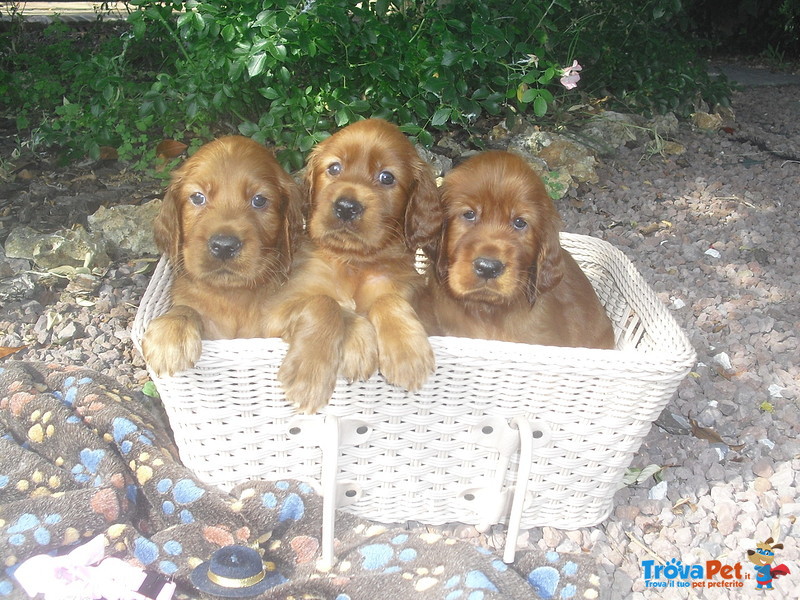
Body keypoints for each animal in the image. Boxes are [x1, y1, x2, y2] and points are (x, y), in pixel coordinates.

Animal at [142, 136, 304, 376]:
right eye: (197, 197)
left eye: (259, 200)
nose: (224, 246)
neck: (231, 295)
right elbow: (185, 308)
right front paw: (170, 334)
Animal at [270, 119, 440, 414]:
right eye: (334, 168)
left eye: (387, 177)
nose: (346, 207)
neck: (353, 262)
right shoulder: (276, 312)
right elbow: (327, 303)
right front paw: (309, 376)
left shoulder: (402, 289)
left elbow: (387, 300)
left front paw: (408, 354)